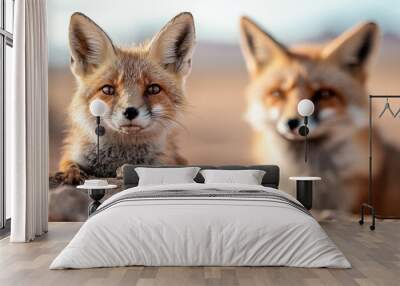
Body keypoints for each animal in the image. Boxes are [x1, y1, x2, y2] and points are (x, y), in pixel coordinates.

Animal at [57, 12, 195, 184]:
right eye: (108, 89)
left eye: (153, 89)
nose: (130, 112)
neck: (122, 156)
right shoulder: (73, 154)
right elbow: (69, 164)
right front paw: (72, 173)